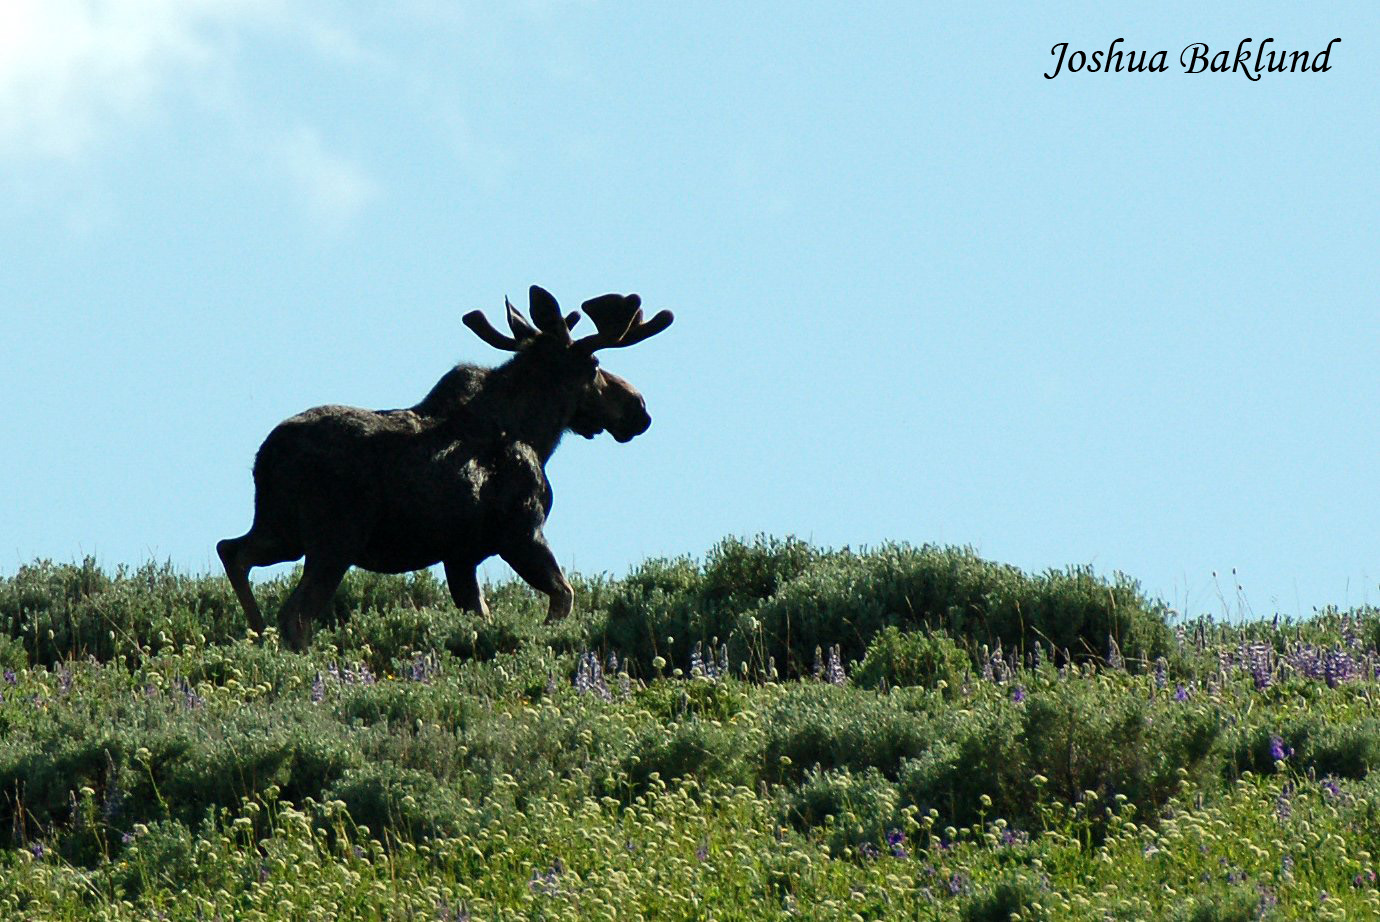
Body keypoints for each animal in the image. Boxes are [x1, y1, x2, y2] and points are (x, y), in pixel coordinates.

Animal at [218, 284, 676, 651]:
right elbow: (563, 596)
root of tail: (266, 458)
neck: (538, 433)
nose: (639, 409)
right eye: (595, 365)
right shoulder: (521, 533)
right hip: (333, 540)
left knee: (232, 551)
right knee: (294, 613)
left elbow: (481, 614)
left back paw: (256, 633)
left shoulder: (461, 556)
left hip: (281, 530)